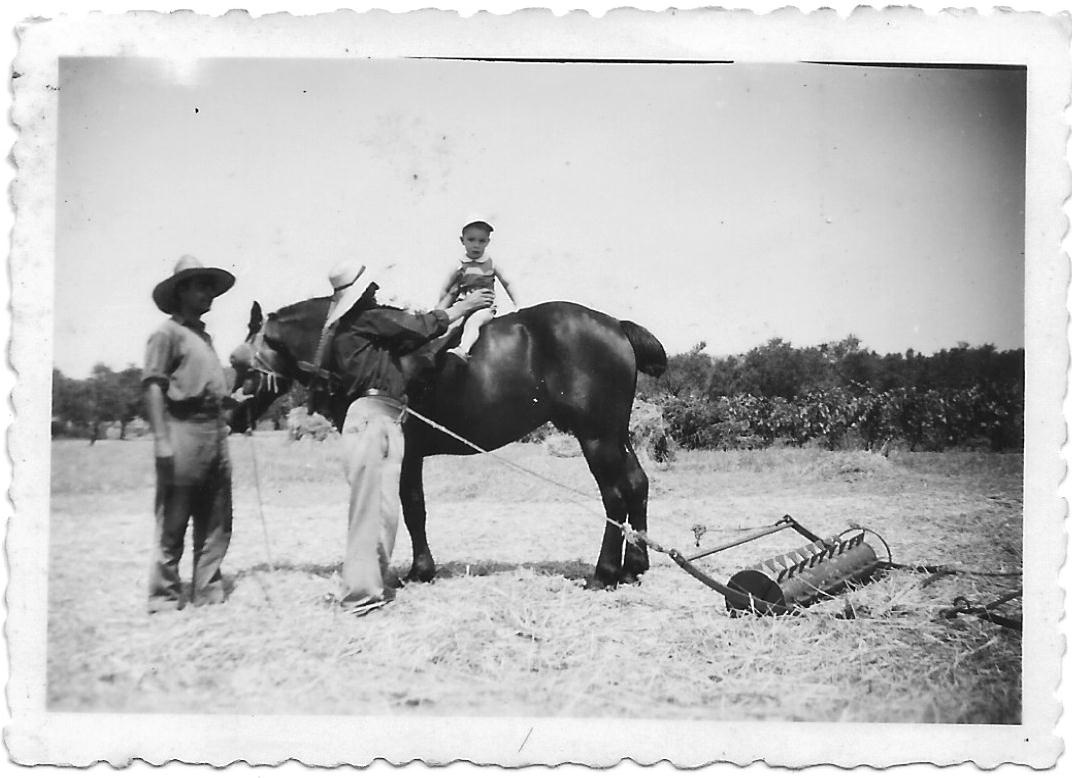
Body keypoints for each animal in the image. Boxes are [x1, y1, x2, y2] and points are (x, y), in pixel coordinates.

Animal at [230, 300, 664, 591]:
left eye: (236, 361)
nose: (232, 415)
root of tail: (616, 324)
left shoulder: (406, 452)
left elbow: (412, 508)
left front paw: (420, 571)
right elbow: (413, 508)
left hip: (596, 437)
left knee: (614, 496)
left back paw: (604, 574)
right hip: (615, 435)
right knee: (637, 485)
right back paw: (634, 566)